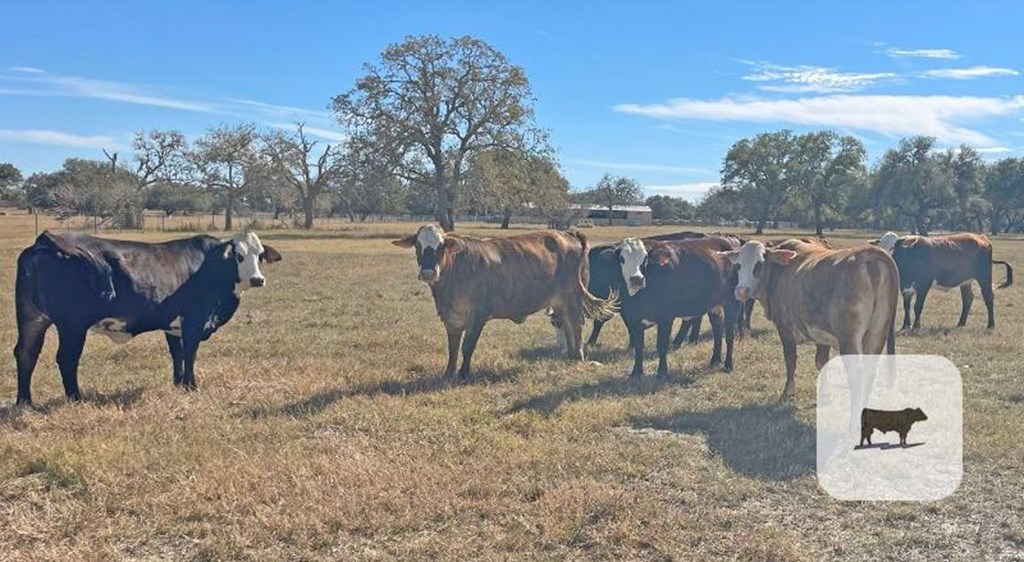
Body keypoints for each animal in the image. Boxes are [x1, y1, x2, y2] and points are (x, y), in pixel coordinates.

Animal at [12, 230, 284, 405]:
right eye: (238, 255)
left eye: (260, 255)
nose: (257, 280)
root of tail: (46, 241)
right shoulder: (194, 321)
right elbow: (190, 353)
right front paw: (191, 386)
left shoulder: (173, 326)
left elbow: (177, 354)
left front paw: (178, 384)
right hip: (72, 324)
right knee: (66, 358)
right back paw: (75, 398)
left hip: (32, 318)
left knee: (26, 353)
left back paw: (24, 402)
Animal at [868, 231, 1011, 329]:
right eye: (881, 246)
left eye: (893, 247)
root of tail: (981, 237)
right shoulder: (904, 286)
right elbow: (906, 305)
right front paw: (905, 325)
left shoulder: (924, 284)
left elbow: (917, 306)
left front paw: (916, 326)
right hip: (966, 281)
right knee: (968, 299)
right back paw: (961, 323)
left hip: (984, 277)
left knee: (988, 297)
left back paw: (990, 324)